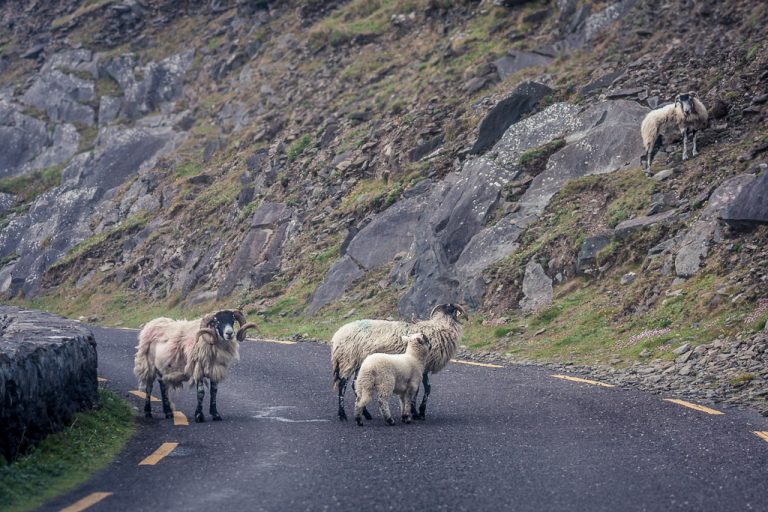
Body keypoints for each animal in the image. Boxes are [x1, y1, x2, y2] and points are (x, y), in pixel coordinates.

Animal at [331, 303, 466, 422]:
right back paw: (342, 415)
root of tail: (337, 336)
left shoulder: (423, 368)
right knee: (342, 385)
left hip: (360, 364)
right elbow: (420, 390)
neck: (441, 326)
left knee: (356, 386)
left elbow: (427, 388)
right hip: (348, 359)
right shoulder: (420, 367)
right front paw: (417, 412)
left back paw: (366, 414)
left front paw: (418, 412)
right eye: (451, 308)